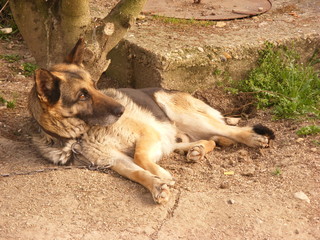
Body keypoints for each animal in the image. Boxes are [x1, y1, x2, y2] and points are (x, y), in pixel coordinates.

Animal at [28, 38, 276, 203]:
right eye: (82, 95)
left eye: (94, 86)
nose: (121, 109)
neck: (80, 136)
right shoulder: (115, 160)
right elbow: (137, 172)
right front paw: (157, 185)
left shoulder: (147, 134)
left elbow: (140, 157)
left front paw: (161, 174)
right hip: (175, 133)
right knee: (209, 140)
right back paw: (197, 149)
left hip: (183, 116)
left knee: (228, 131)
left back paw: (252, 138)